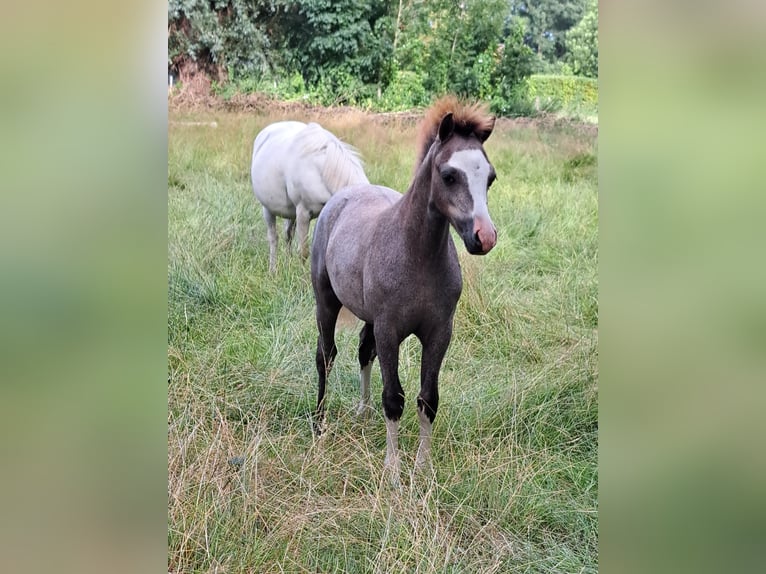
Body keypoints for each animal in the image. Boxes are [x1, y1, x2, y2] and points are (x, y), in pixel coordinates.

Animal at [250, 121, 369, 272]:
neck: (321, 170)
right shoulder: (303, 212)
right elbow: (304, 252)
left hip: (291, 213)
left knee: (288, 236)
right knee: (273, 238)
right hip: (268, 209)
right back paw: (273, 270)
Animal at [310, 96, 497, 478]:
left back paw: (363, 411)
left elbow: (428, 398)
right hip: (326, 302)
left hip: (368, 317)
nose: (484, 238)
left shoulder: (439, 332)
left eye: (490, 177)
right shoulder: (390, 331)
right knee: (326, 356)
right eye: (449, 175)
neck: (416, 255)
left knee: (363, 352)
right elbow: (394, 397)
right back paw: (319, 423)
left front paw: (423, 469)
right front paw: (393, 472)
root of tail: (343, 196)